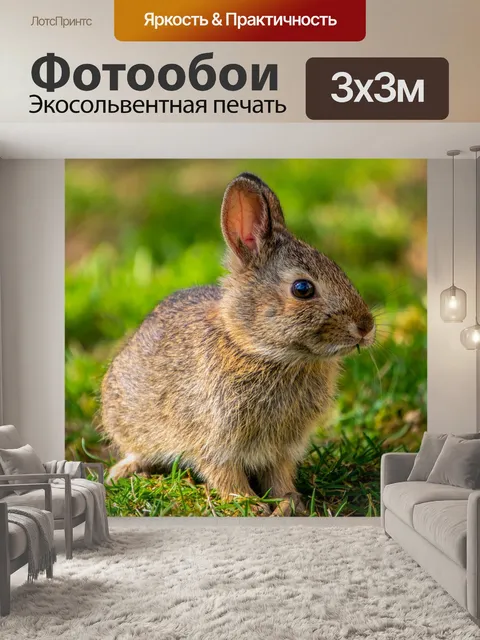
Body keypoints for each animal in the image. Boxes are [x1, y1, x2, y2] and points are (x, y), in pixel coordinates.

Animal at [101, 172, 376, 516]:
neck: (260, 352)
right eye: (302, 289)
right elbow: (224, 473)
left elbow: (279, 474)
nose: (366, 327)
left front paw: (289, 502)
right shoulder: (214, 439)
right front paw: (248, 504)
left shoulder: (282, 448)